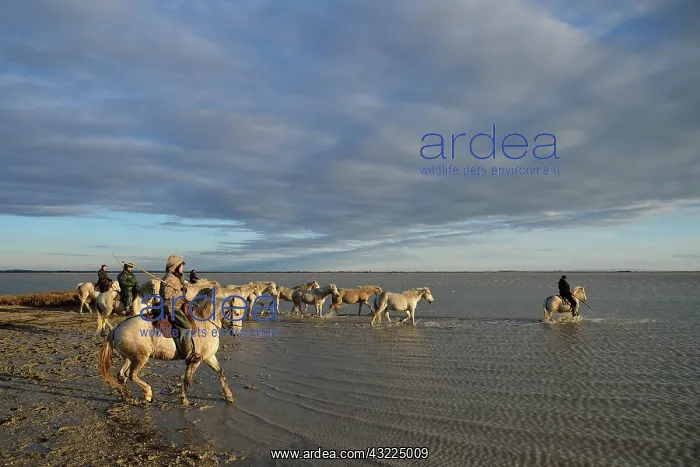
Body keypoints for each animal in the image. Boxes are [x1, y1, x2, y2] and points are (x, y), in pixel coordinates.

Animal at [98, 287, 236, 407]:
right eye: (235, 311)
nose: (236, 331)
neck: (205, 322)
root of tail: (117, 328)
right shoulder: (195, 360)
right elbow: (187, 379)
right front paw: (184, 400)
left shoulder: (209, 357)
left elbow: (220, 372)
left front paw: (229, 396)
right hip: (140, 358)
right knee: (132, 375)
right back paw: (147, 393)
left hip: (130, 358)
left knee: (122, 375)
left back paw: (127, 398)